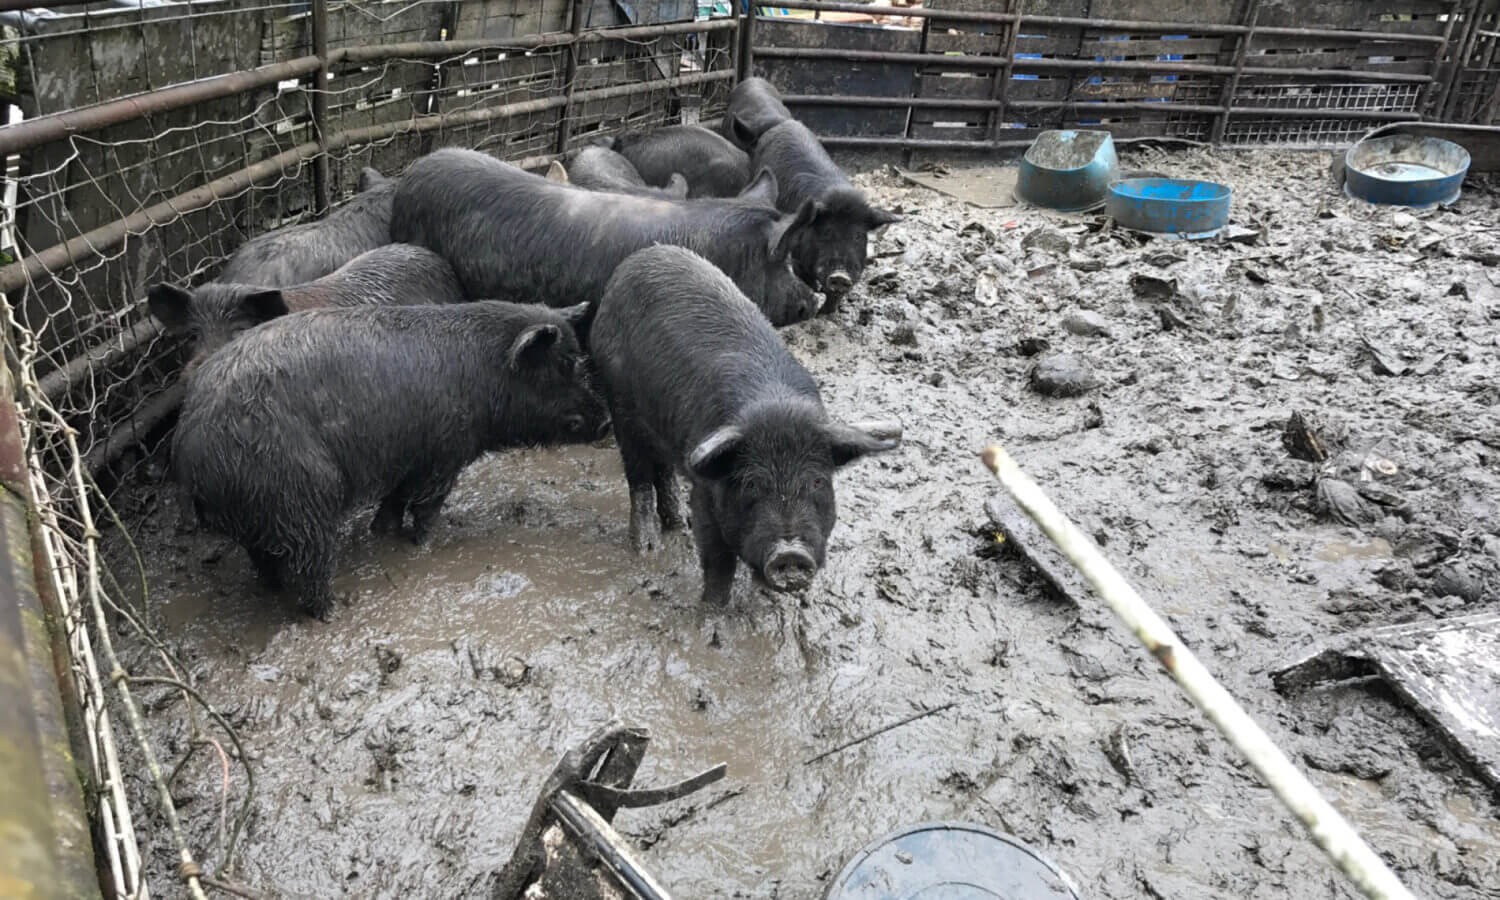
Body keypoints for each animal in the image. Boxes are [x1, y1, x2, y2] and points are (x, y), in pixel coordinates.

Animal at [172, 301, 609, 620]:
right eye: (565, 364)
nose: (605, 421)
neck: (485, 377)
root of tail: (192, 451)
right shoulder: (445, 453)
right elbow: (427, 506)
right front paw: (422, 545)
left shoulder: (407, 460)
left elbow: (394, 502)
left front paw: (383, 532)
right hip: (301, 495)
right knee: (310, 567)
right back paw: (332, 612)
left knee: (264, 561)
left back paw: (277, 589)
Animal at [589, 245, 901, 605]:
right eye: (752, 484)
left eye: (818, 481)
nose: (790, 552)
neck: (774, 404)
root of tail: (635, 261)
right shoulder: (706, 490)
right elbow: (718, 561)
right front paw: (712, 612)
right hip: (620, 403)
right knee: (638, 475)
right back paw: (646, 548)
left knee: (663, 469)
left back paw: (678, 525)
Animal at [751, 119, 900, 309]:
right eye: (827, 231)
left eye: (858, 236)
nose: (840, 275)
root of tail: (784, 122)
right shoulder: (798, 257)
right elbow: (806, 279)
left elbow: (834, 296)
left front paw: (829, 311)